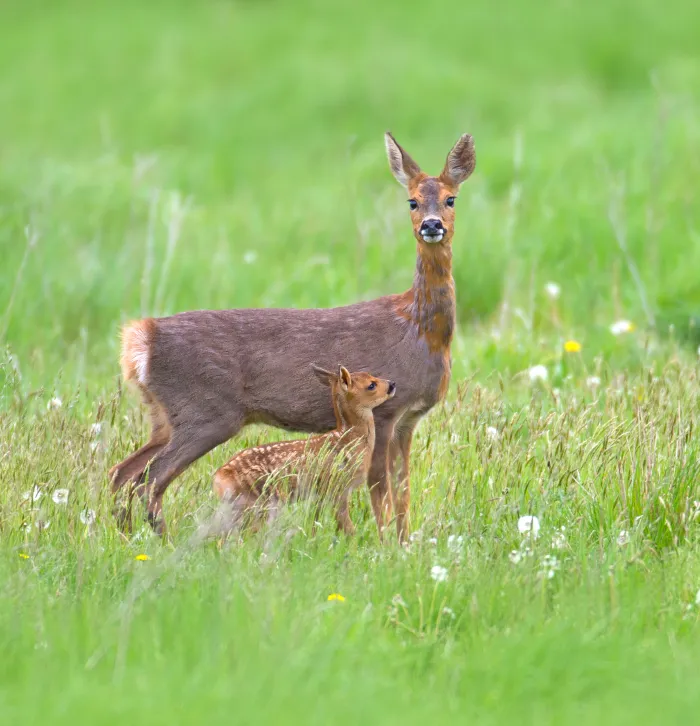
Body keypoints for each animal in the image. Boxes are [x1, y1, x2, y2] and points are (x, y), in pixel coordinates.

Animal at [211, 365, 395, 536]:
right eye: (371, 385)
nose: (392, 384)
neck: (350, 440)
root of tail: (220, 477)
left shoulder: (320, 495)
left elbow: (317, 523)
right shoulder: (337, 487)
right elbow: (347, 526)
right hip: (257, 501)